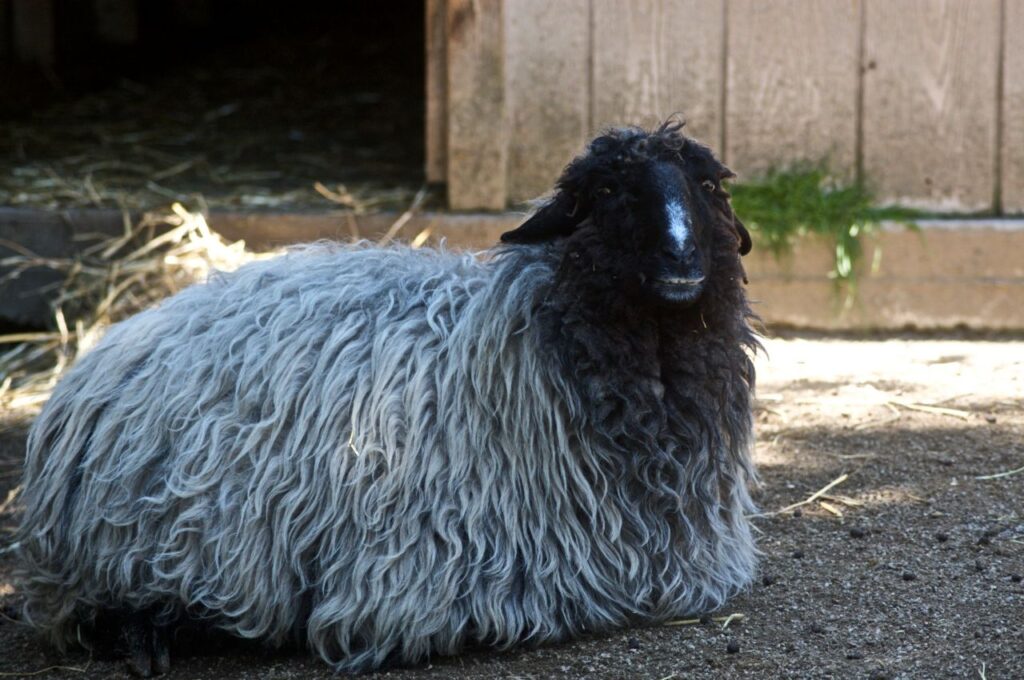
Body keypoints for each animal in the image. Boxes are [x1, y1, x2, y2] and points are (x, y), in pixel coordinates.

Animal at [15, 121, 759, 675]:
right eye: (606, 189)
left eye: (705, 186)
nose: (681, 259)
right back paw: (154, 635)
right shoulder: (416, 580)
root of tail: (102, 356)